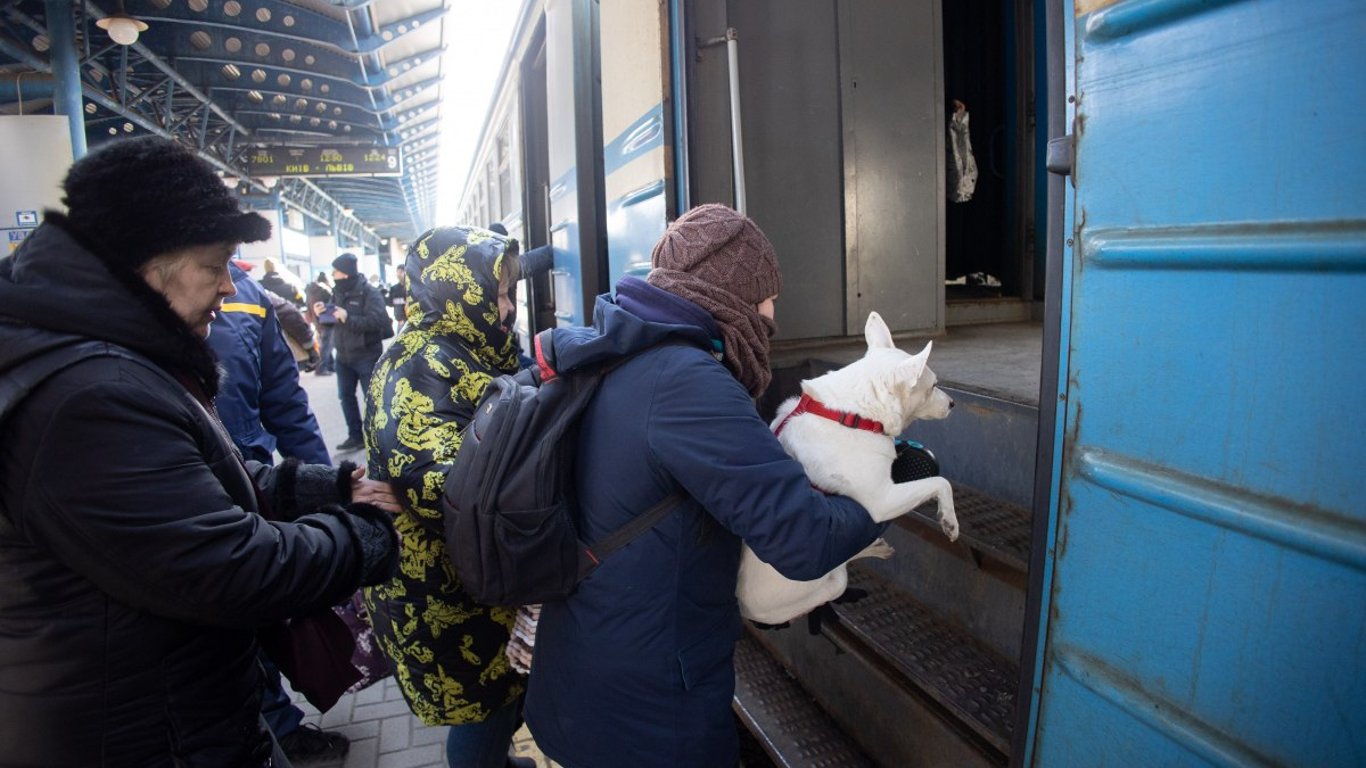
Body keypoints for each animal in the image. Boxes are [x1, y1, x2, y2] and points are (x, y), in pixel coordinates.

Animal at [737, 308, 961, 623]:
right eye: (933, 386)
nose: (953, 403)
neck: (854, 415)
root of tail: (744, 608)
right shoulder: (882, 500)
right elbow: (942, 483)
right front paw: (950, 520)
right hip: (828, 583)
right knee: (839, 571)